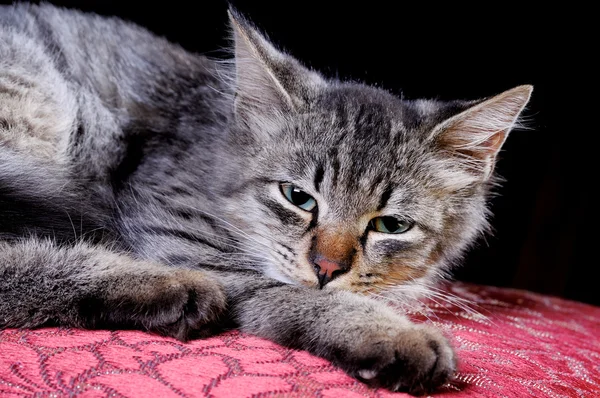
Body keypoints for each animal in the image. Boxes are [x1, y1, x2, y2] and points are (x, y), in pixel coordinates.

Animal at [0, 3, 532, 394]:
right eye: (298, 197)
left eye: (391, 225)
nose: (327, 267)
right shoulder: (173, 225)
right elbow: (289, 293)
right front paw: (389, 332)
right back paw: (168, 288)